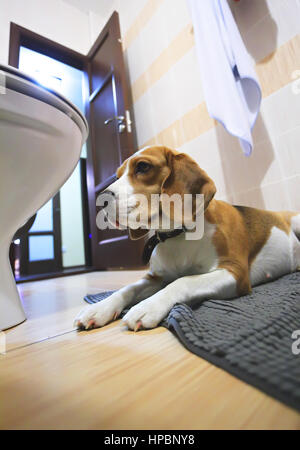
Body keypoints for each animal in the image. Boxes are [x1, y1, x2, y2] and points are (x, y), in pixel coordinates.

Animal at [74, 146, 300, 332]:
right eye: (118, 175)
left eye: (143, 166)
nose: (100, 200)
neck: (176, 235)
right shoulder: (155, 277)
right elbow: (127, 288)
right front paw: (100, 308)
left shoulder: (235, 273)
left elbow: (183, 281)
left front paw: (148, 306)